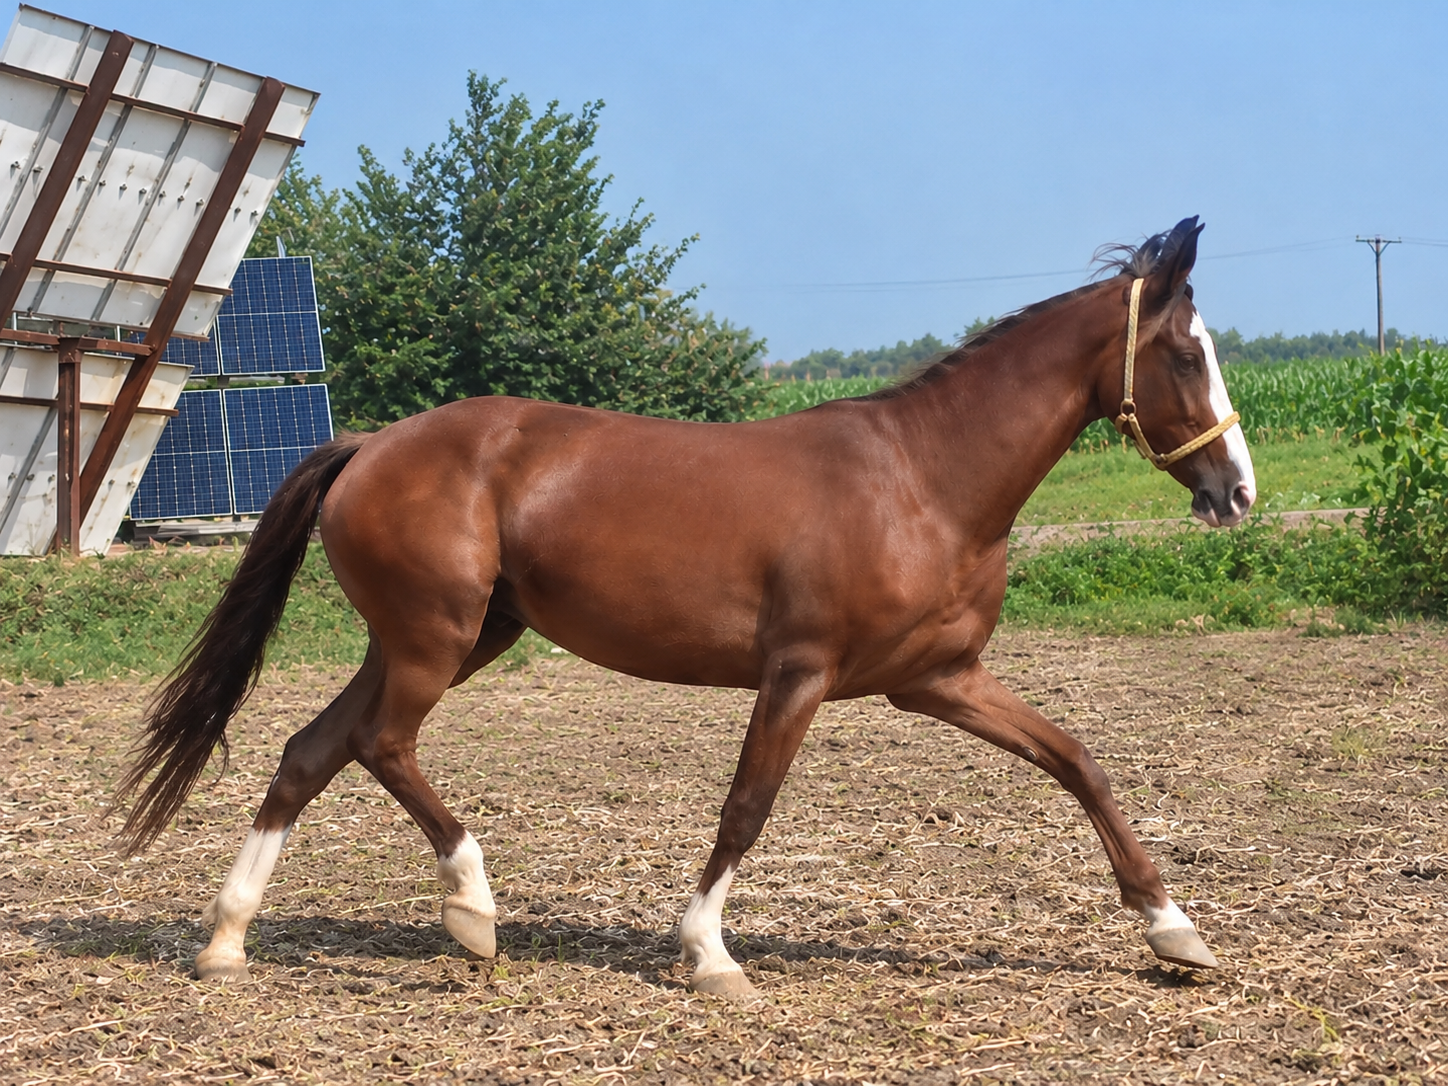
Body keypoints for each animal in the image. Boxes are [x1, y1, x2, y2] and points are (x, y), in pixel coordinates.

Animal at [115, 217, 1255, 996]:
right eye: (1185, 354)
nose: (1235, 492)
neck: (923, 480)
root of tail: (367, 445)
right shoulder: (799, 674)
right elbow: (746, 805)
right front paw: (706, 953)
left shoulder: (938, 678)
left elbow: (1076, 761)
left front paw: (1174, 930)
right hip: (433, 642)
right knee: (380, 746)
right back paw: (473, 911)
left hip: (443, 637)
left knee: (312, 751)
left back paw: (227, 940)